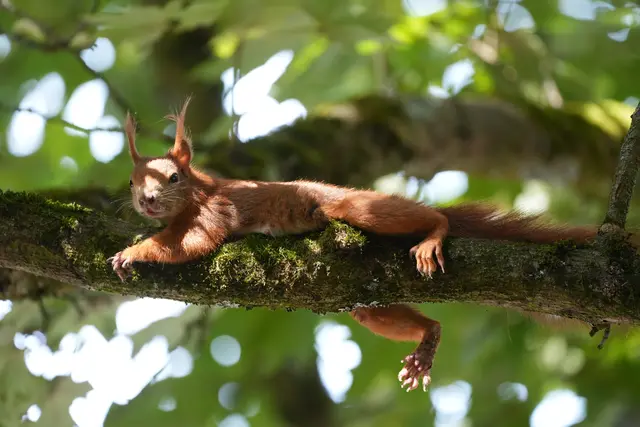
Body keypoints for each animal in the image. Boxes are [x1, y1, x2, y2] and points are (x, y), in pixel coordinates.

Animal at [109, 99, 598, 392]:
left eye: (173, 177)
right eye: (131, 181)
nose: (145, 201)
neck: (199, 191)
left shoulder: (216, 211)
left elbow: (192, 243)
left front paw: (132, 252)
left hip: (354, 208)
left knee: (414, 217)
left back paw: (434, 233)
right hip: (367, 298)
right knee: (393, 315)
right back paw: (427, 341)